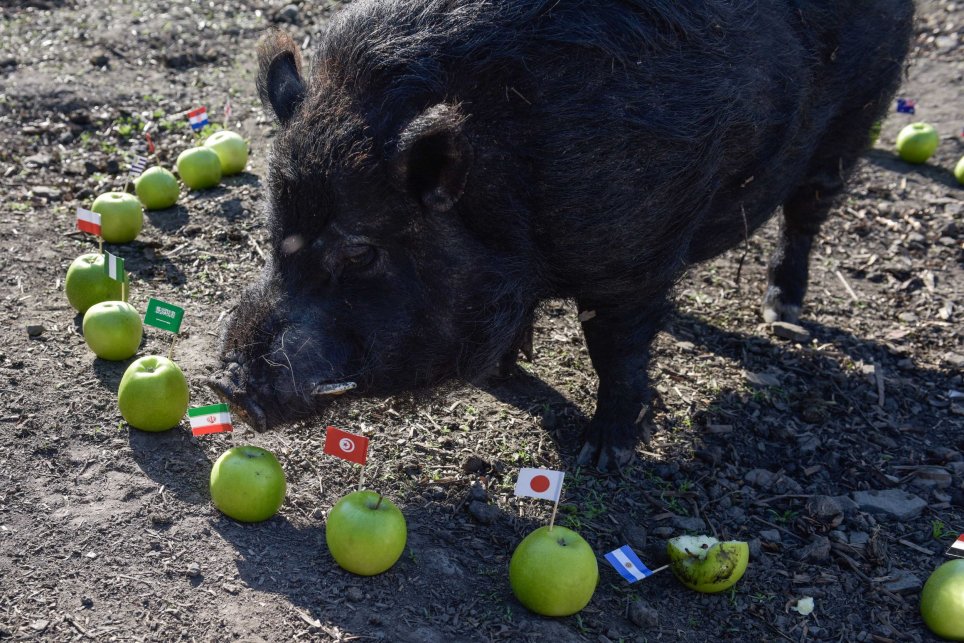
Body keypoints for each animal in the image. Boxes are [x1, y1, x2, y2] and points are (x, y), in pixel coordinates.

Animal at [209, 0, 914, 470]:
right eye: (276, 231)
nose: (227, 387)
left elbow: (614, 348)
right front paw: (502, 375)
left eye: (361, 250)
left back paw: (781, 312)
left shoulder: (631, 257)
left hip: (857, 117)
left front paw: (602, 456)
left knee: (808, 211)